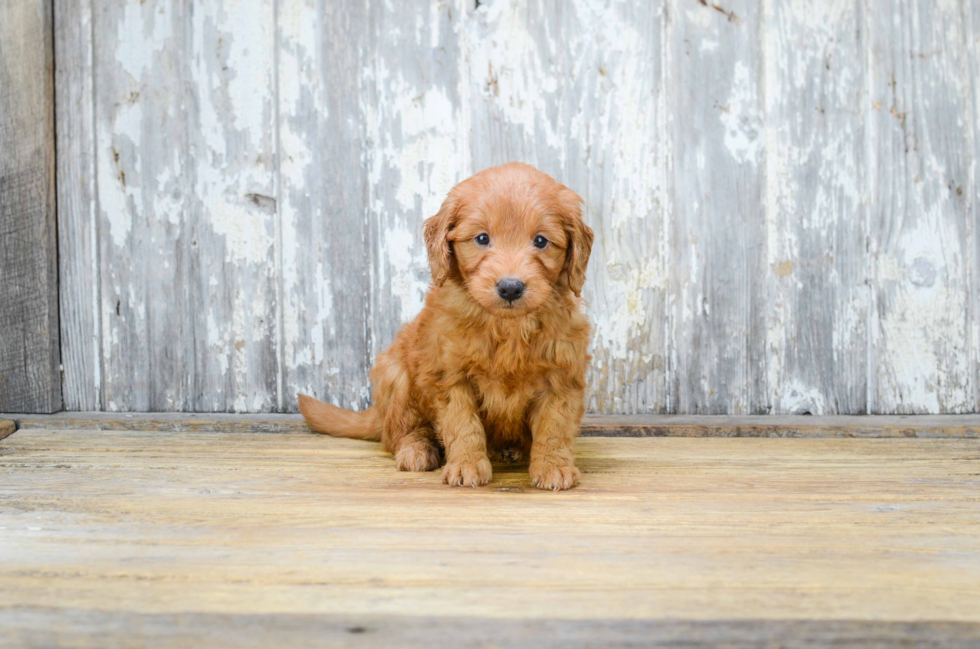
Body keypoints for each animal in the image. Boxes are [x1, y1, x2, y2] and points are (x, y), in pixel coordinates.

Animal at [294, 162, 592, 492]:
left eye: (541, 241)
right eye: (482, 239)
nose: (510, 288)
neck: (506, 327)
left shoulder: (562, 376)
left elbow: (555, 427)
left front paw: (553, 467)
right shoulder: (449, 376)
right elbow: (463, 424)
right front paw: (467, 465)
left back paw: (508, 448)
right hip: (396, 374)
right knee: (399, 432)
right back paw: (417, 450)